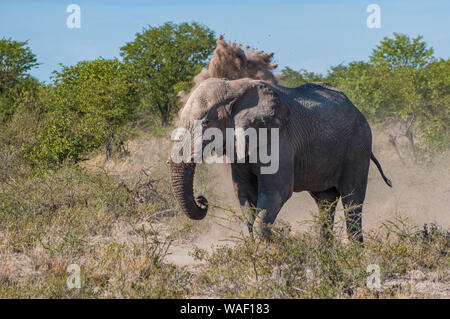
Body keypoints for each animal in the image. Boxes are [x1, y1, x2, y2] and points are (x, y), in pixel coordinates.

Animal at [169, 77, 390, 242]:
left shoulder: (278, 138)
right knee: (325, 202)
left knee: (352, 200)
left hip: (358, 145)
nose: (202, 200)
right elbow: (244, 194)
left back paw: (354, 256)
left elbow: (276, 193)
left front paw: (269, 251)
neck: (234, 87)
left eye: (206, 122)